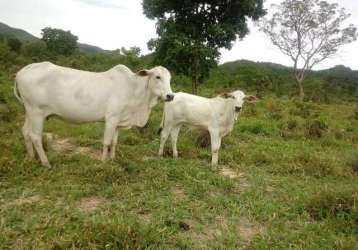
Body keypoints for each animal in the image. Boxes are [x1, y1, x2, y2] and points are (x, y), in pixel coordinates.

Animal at [14, 62, 174, 168]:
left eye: (170, 78)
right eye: (157, 77)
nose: (170, 96)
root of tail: (22, 71)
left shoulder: (118, 121)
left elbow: (114, 142)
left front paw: (112, 159)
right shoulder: (111, 118)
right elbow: (107, 142)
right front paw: (103, 162)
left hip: (29, 112)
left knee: (25, 132)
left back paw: (30, 158)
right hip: (36, 112)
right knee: (35, 136)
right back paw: (46, 163)